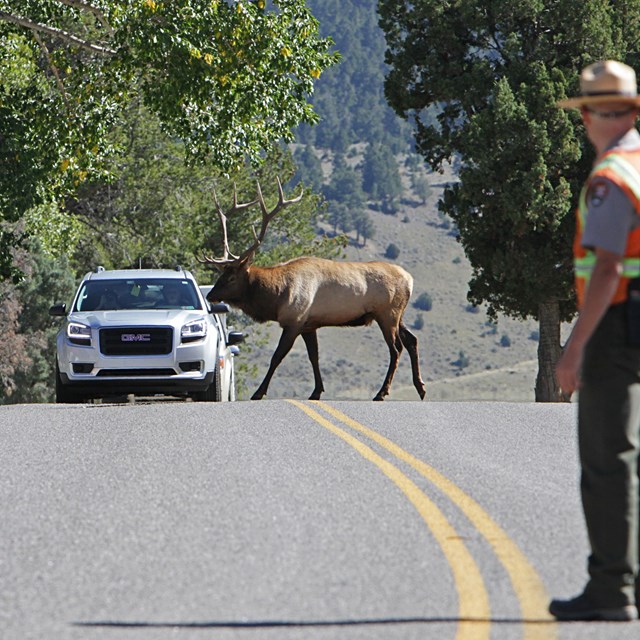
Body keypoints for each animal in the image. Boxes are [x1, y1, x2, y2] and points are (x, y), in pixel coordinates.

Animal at [198, 179, 428, 400]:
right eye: (221, 275)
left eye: (231, 277)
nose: (210, 295)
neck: (277, 297)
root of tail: (410, 280)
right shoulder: (309, 325)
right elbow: (314, 357)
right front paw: (316, 391)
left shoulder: (295, 320)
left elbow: (277, 357)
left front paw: (259, 392)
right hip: (398, 314)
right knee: (412, 340)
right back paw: (420, 388)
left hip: (387, 313)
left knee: (396, 349)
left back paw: (381, 393)